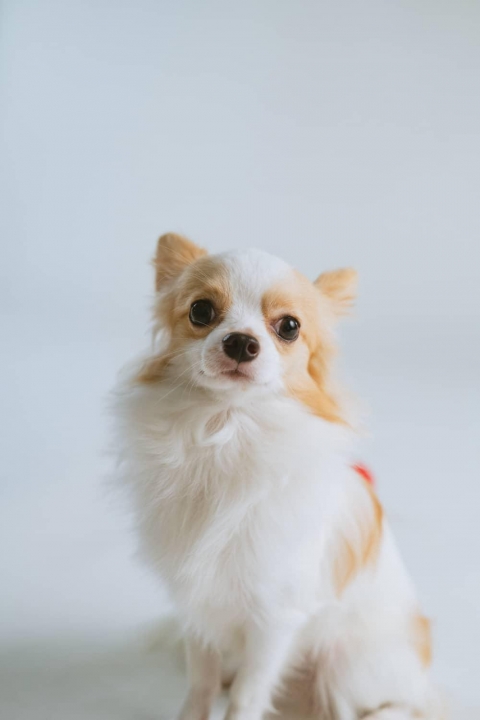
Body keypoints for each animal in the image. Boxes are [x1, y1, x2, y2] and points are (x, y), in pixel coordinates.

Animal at [111, 233, 441, 720]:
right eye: (201, 311)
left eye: (288, 326)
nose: (241, 342)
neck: (226, 433)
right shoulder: (198, 607)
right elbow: (200, 684)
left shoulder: (273, 620)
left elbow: (248, 695)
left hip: (345, 670)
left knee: (386, 709)